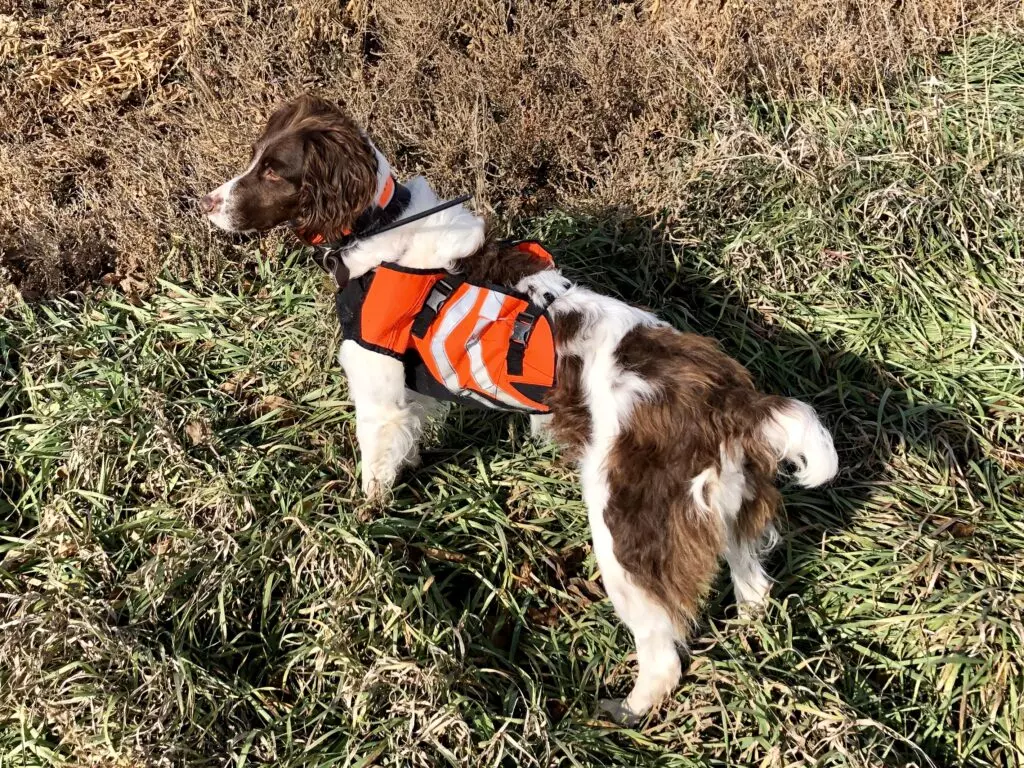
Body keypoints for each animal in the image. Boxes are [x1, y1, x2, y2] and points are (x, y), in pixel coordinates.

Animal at [201, 96, 839, 729]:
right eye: (256, 157)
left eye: (274, 171)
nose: (204, 203)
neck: (383, 225)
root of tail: (733, 401)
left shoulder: (378, 396)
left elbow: (374, 478)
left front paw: (364, 526)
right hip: (730, 508)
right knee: (753, 588)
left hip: (625, 534)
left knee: (662, 653)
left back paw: (624, 710)